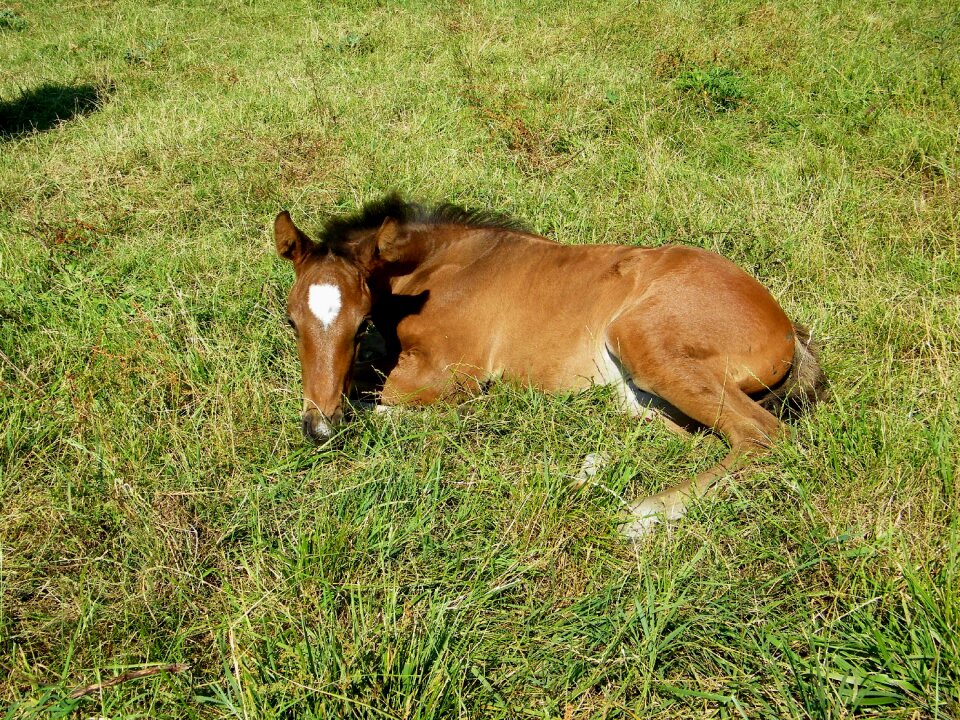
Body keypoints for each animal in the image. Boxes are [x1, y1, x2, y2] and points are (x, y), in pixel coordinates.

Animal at [272, 195, 824, 536]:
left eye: (360, 322)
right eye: (292, 320)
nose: (318, 429)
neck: (442, 267)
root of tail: (788, 329)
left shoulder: (453, 372)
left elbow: (376, 398)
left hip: (643, 344)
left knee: (762, 435)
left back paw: (645, 514)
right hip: (639, 395)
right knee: (700, 439)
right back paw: (590, 469)